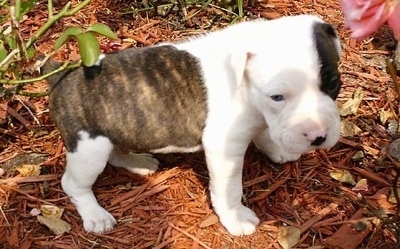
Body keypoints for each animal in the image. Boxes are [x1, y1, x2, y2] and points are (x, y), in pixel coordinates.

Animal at [46, 14, 340, 236]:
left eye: (334, 84)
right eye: (277, 97)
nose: (318, 136)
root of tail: (60, 77)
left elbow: (266, 132)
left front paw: (278, 148)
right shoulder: (225, 147)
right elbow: (229, 189)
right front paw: (236, 218)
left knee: (117, 151)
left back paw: (138, 162)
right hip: (89, 148)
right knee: (73, 183)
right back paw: (95, 214)